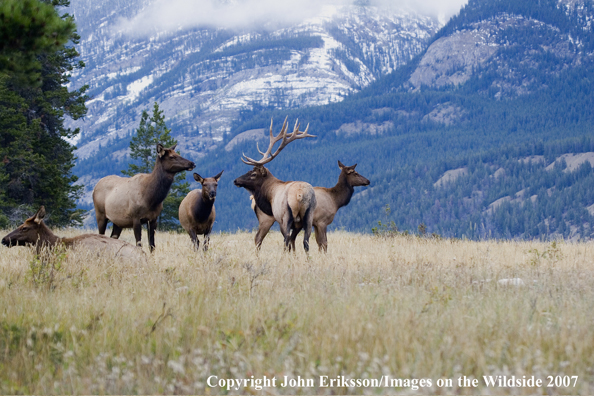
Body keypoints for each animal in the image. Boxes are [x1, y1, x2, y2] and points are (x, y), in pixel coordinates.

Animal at [232, 117, 314, 252]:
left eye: (253, 174)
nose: (236, 180)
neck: (269, 193)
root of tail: (299, 194)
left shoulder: (279, 218)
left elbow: (287, 241)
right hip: (308, 217)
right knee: (305, 241)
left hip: (284, 217)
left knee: (276, 239)